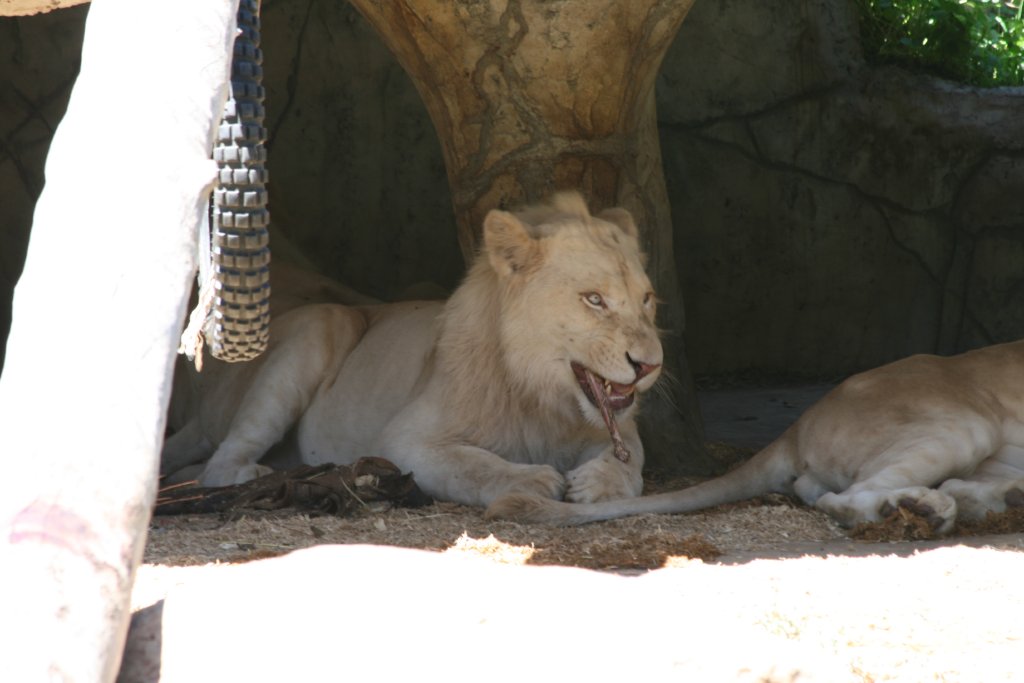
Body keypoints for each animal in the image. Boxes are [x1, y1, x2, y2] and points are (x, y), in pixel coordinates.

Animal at [161, 192, 663, 508]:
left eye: (647, 299)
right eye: (594, 300)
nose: (649, 366)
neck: (540, 396)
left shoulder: (612, 429)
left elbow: (630, 458)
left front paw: (599, 484)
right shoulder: (404, 440)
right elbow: (474, 465)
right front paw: (530, 479)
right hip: (327, 320)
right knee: (217, 464)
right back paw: (254, 477)